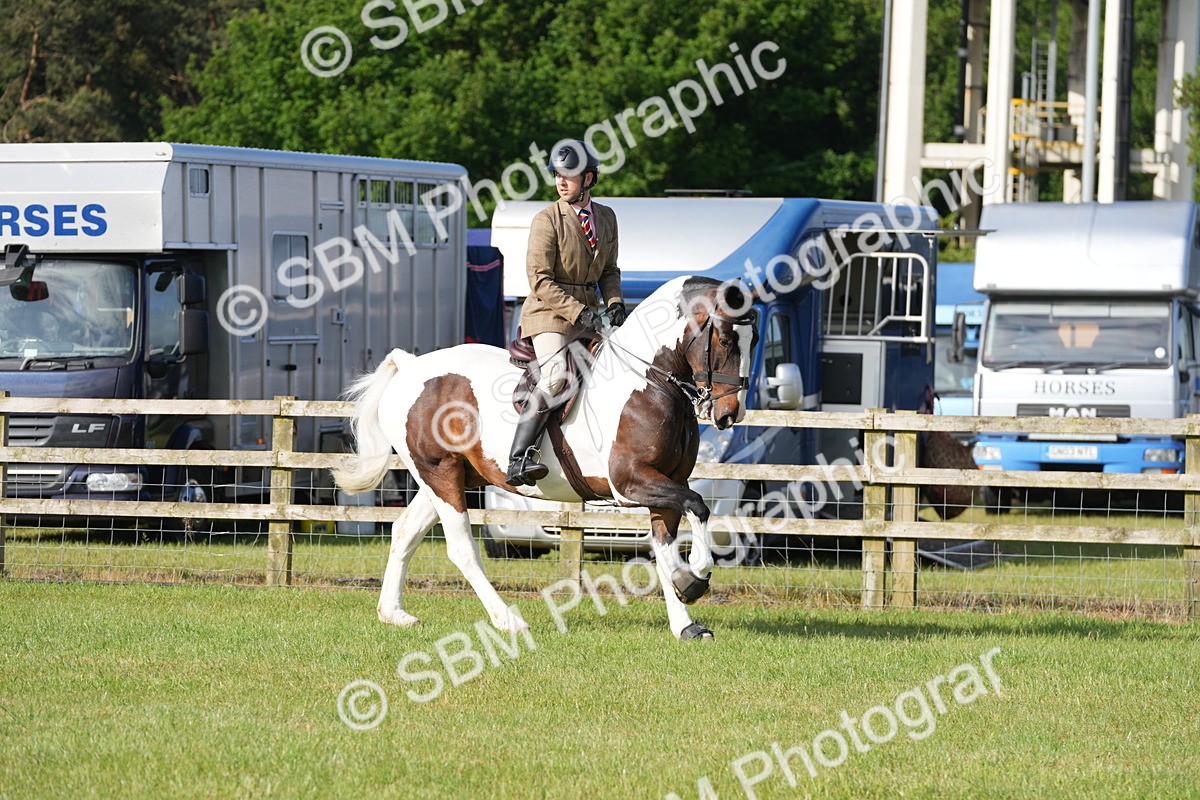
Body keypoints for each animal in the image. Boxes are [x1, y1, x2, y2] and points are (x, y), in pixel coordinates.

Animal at [332, 276, 758, 640]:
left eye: (753, 340)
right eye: (726, 340)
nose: (729, 414)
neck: (648, 383)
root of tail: (411, 365)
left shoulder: (668, 482)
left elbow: (666, 548)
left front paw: (685, 620)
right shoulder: (630, 482)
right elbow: (698, 506)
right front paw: (697, 576)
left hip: (448, 476)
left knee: (405, 531)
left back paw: (394, 613)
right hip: (440, 474)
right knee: (461, 548)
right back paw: (508, 620)